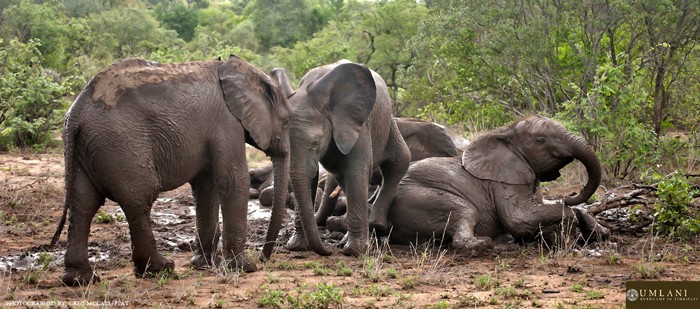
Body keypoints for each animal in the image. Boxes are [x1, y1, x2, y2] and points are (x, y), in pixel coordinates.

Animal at [49, 56, 290, 284]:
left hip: (86, 148)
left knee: (83, 204)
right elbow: (232, 181)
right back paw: (161, 269)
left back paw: (80, 280)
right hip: (120, 143)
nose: (264, 258)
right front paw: (243, 268)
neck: (247, 72)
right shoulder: (226, 123)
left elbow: (206, 188)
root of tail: (76, 114)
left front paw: (204, 264)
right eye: (287, 122)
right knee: (138, 200)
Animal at [274, 60, 412, 255]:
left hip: (388, 122)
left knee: (399, 162)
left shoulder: (357, 125)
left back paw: (375, 225)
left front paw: (355, 251)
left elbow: (356, 171)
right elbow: (312, 177)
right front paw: (297, 246)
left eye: (316, 142)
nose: (327, 251)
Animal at [328, 114, 608, 251]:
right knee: (464, 211)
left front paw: (598, 232)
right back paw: (488, 244)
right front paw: (567, 236)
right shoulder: (504, 181)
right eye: (541, 140)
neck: (504, 132)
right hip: (420, 199)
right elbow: (519, 219)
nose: (571, 193)